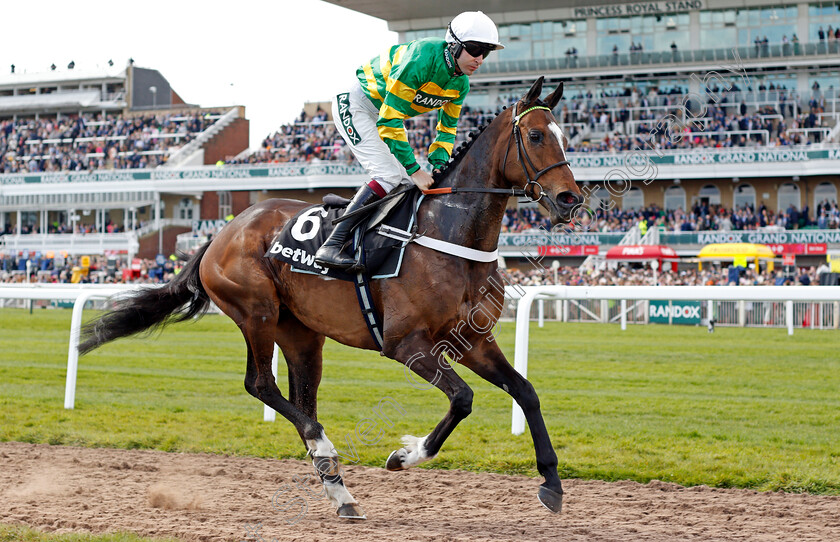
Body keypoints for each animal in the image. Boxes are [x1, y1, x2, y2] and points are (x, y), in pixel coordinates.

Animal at [82, 77, 584, 524]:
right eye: (536, 135)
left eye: (567, 137)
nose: (570, 200)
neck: (448, 236)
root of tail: (222, 231)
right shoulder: (405, 344)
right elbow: (462, 398)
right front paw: (405, 454)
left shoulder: (473, 341)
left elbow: (526, 391)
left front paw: (552, 484)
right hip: (256, 312)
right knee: (260, 384)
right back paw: (326, 450)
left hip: (302, 334)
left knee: (301, 400)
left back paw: (339, 490)